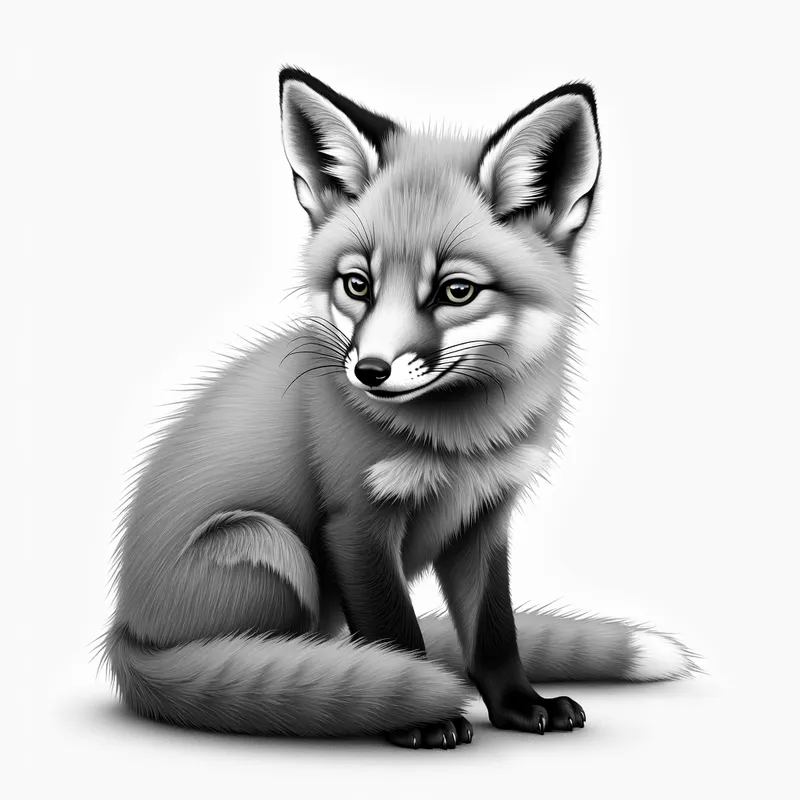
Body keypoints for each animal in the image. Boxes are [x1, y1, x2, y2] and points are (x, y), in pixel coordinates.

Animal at [101, 67, 696, 749]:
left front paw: (519, 706)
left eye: (456, 291)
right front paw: (425, 713)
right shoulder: (355, 523)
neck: (461, 443)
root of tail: (125, 637)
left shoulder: (484, 520)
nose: (370, 372)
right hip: (269, 543)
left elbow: (495, 633)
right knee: (261, 655)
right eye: (357, 285)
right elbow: (396, 635)